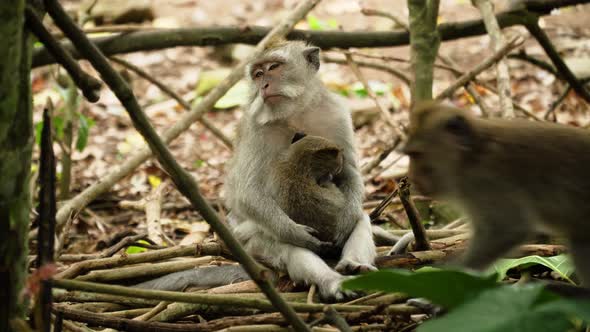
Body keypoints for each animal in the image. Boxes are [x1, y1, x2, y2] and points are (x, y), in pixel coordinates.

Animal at [224, 40, 376, 300]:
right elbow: (248, 192)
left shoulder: (336, 113)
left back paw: (353, 265)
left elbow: (349, 172)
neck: (294, 111)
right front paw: (298, 234)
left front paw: (345, 221)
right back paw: (331, 281)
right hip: (251, 241)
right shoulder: (256, 128)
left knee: (361, 217)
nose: (263, 85)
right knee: (286, 248)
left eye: (273, 67)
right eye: (258, 74)